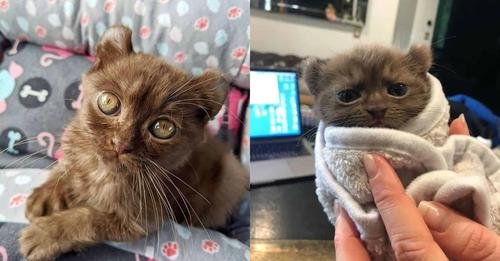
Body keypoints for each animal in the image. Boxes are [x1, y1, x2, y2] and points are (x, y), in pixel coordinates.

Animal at [20, 24, 250, 260]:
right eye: (108, 102)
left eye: (163, 128)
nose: (121, 144)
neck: (101, 170)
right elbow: (65, 167)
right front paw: (45, 196)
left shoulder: (140, 220)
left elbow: (90, 220)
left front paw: (45, 234)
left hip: (231, 177)